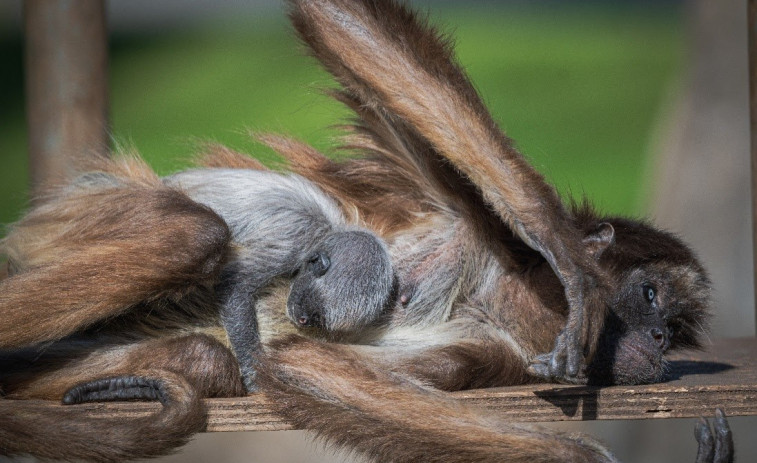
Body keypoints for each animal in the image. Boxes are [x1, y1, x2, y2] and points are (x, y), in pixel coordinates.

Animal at [0, 0, 732, 463]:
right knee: (190, 236)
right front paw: (567, 253)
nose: (660, 340)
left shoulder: (496, 354)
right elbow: (340, 15)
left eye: (677, 328)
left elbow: (306, 367)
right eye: (650, 297)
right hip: (80, 214)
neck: (500, 298)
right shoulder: (471, 223)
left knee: (203, 352)